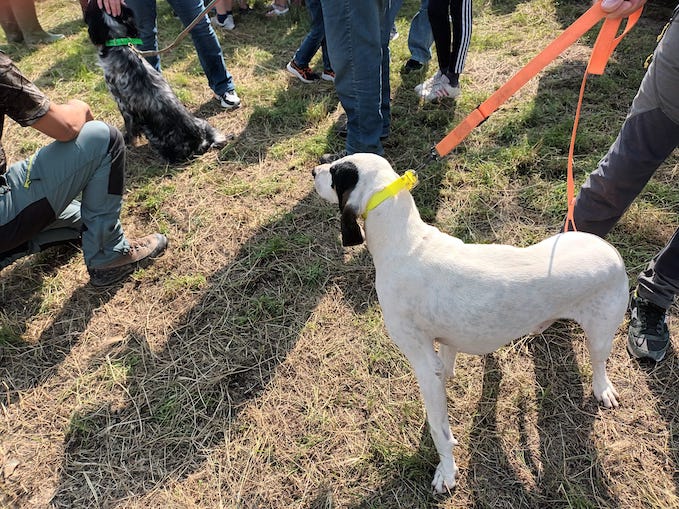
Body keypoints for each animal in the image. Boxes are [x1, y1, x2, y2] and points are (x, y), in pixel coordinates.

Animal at [84, 0, 228, 163]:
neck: (120, 44)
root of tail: (202, 140)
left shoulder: (123, 106)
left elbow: (129, 130)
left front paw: (125, 141)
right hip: (203, 122)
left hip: (156, 139)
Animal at [314, 154, 632, 492]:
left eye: (334, 172)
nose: (313, 170)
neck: (404, 242)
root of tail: (610, 251)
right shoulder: (443, 348)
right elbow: (445, 379)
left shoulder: (422, 363)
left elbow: (440, 431)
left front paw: (447, 472)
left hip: (601, 336)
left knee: (598, 365)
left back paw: (603, 389)